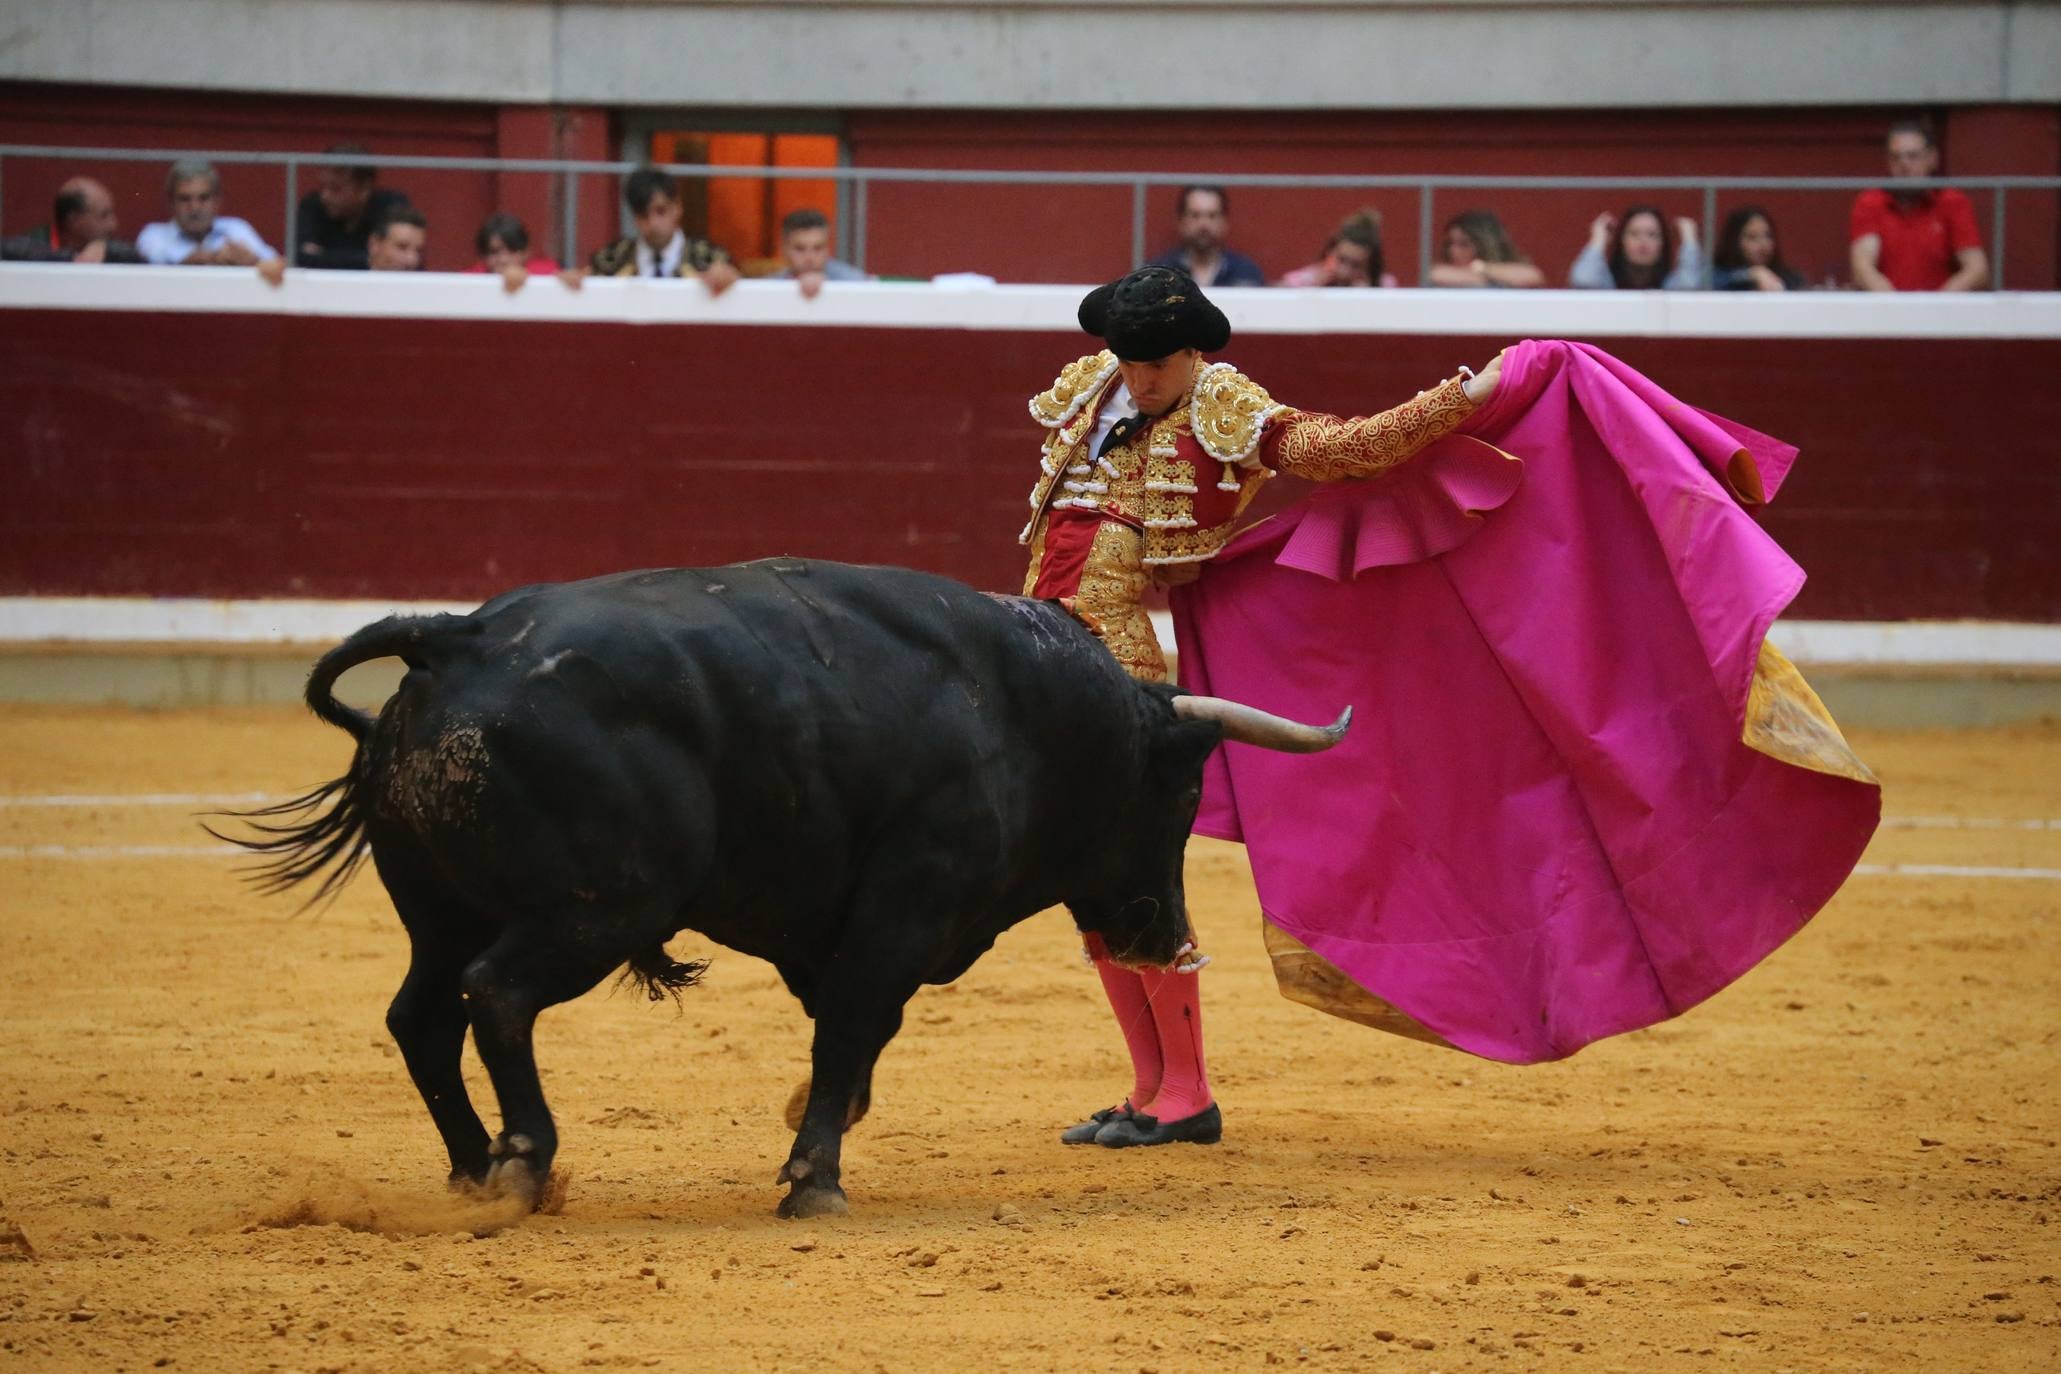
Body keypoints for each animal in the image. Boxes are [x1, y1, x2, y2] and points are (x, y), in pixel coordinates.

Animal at [225, 560, 1352, 1211]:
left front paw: (822, 1126)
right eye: (1183, 789)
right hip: (596, 909)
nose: (1164, 935)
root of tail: (455, 636)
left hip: (439, 909)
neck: (1025, 710)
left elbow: (854, 1037)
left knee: (422, 1014)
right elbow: (852, 1025)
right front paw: (814, 1176)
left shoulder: (836, 923)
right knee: (495, 995)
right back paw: (522, 1167)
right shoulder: (904, 905)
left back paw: (469, 1168)